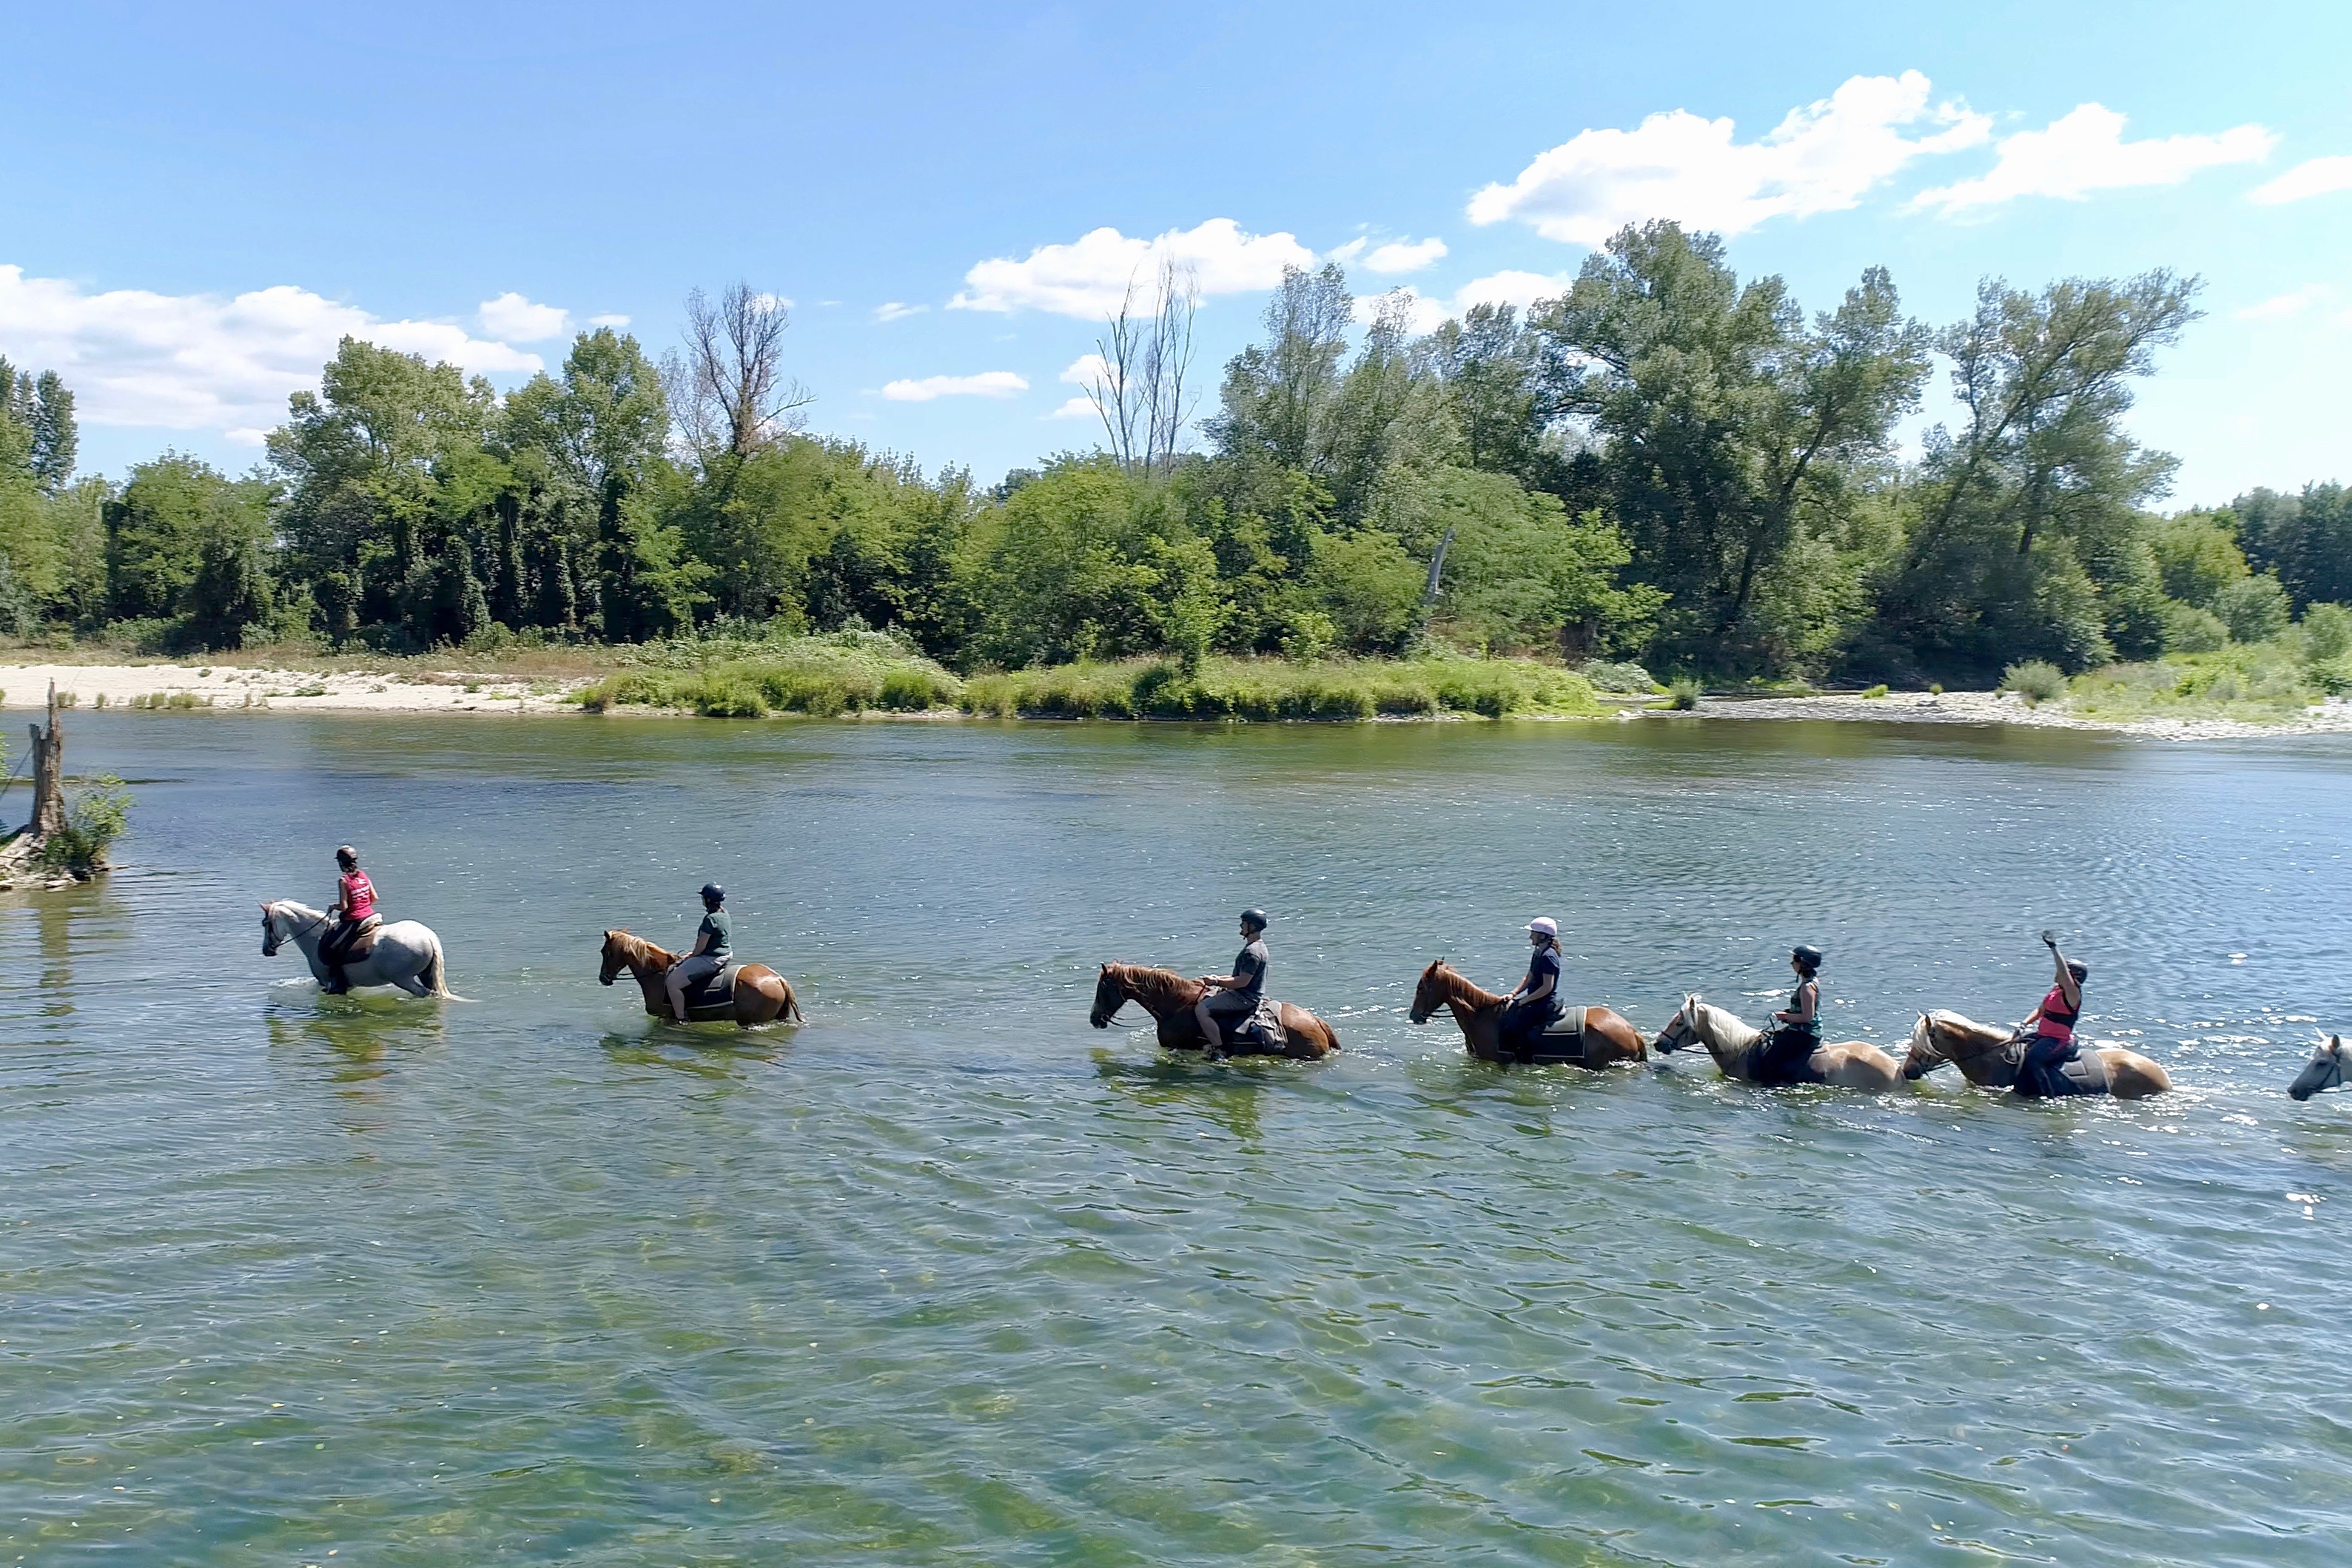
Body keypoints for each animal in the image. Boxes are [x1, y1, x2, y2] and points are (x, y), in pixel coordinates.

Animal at [260, 900, 459, 999]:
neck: (317, 938)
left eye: (265, 923)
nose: (266, 950)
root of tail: (429, 937)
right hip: (425, 974)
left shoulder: (326, 981)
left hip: (404, 979)